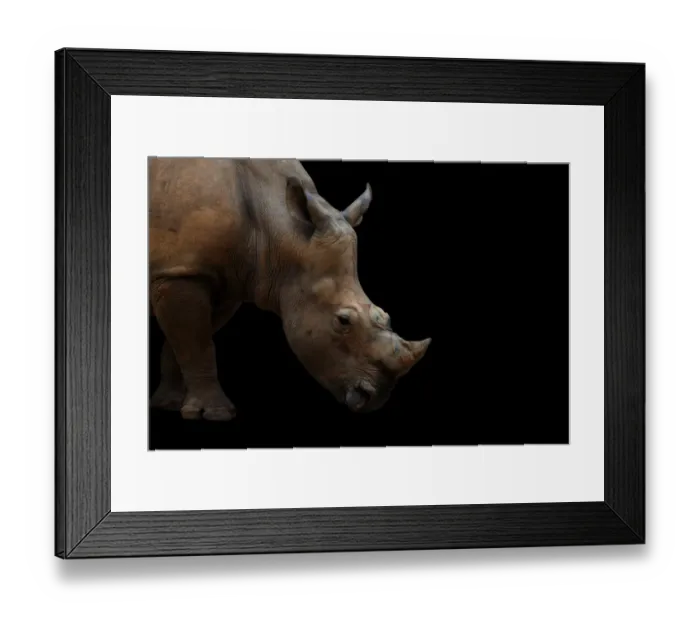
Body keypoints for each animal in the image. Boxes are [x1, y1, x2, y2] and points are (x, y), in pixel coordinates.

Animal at [148, 157, 431, 421]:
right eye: (343, 321)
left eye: (386, 316)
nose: (375, 399)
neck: (278, 232)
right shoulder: (183, 271)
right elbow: (198, 345)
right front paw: (216, 413)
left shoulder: (218, 279)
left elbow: (185, 342)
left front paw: (168, 405)